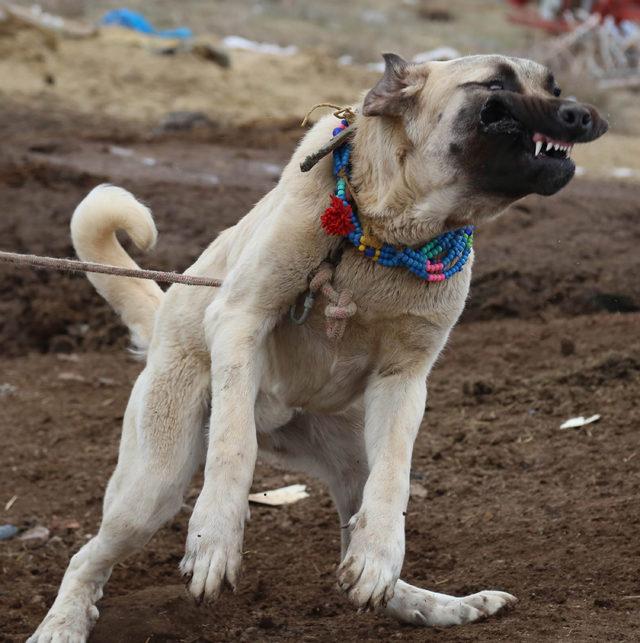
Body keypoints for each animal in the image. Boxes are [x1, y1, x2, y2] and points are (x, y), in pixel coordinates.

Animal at [28, 52, 604, 640]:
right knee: (86, 557)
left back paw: (436, 603)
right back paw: (62, 624)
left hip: (351, 457)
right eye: (495, 85)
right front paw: (215, 539)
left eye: (555, 88)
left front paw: (380, 560)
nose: (584, 115)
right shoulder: (241, 317)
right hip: (152, 485)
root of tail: (164, 318)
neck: (386, 233)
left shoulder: (405, 380)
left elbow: (393, 484)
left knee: (361, 530)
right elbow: (233, 446)